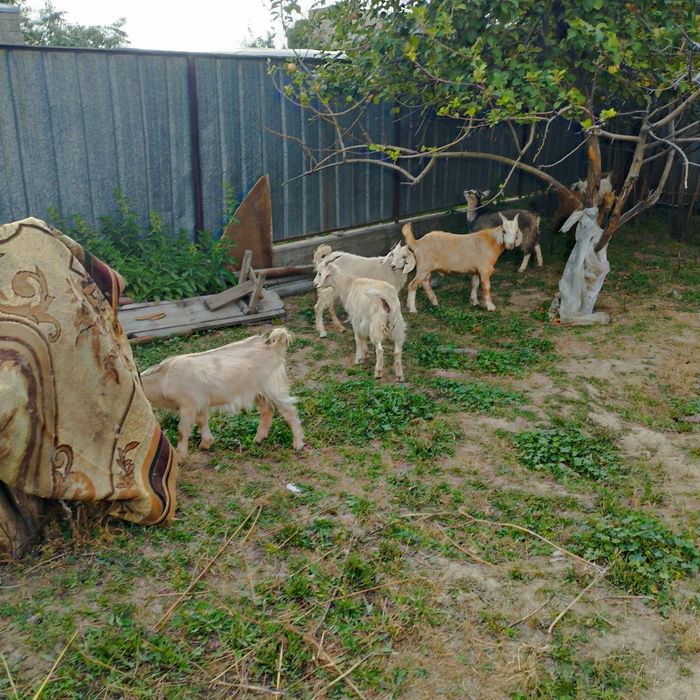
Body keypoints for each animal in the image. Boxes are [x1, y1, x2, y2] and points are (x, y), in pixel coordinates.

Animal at [140, 328, 305, 461]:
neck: (164, 379)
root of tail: (272, 346)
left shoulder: (188, 405)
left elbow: (183, 430)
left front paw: (180, 457)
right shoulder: (201, 404)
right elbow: (202, 421)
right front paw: (205, 444)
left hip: (272, 386)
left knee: (289, 410)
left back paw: (298, 444)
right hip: (257, 391)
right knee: (267, 410)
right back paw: (258, 438)